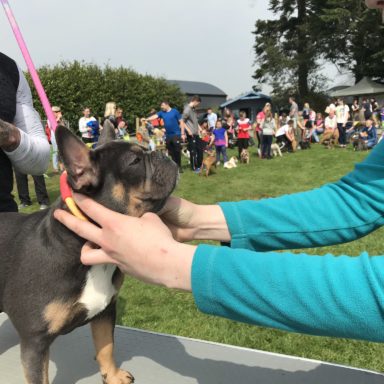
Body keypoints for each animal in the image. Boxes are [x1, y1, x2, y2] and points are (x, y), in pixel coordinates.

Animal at [0, 124, 178, 382]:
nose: (162, 153)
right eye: (135, 161)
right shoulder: (35, 341)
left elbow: (106, 347)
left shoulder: (105, 312)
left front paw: (113, 376)